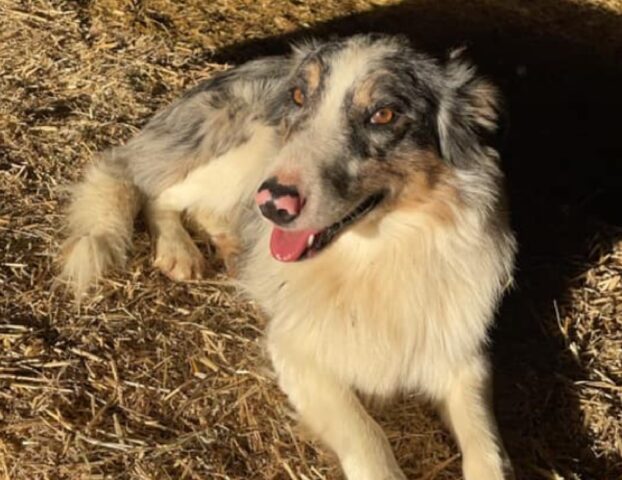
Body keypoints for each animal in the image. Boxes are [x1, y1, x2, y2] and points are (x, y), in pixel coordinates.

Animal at [58, 34, 520, 480]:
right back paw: (179, 251)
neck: (378, 255)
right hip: (252, 153)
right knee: (157, 192)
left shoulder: (462, 358)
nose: (274, 203)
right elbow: (369, 441)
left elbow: (488, 453)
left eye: (384, 115)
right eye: (299, 97)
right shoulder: (295, 351)